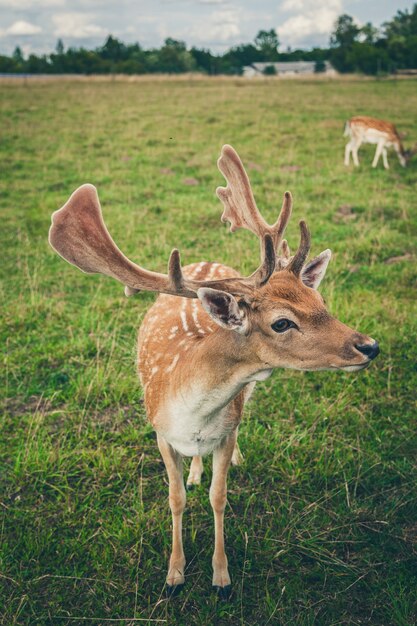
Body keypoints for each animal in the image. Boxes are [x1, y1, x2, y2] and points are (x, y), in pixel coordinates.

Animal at [48, 144, 380, 596]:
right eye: (281, 322)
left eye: (320, 300)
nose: (369, 346)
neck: (194, 415)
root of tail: (207, 262)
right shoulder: (160, 433)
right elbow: (176, 498)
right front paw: (174, 573)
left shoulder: (225, 430)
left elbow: (219, 496)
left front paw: (221, 576)